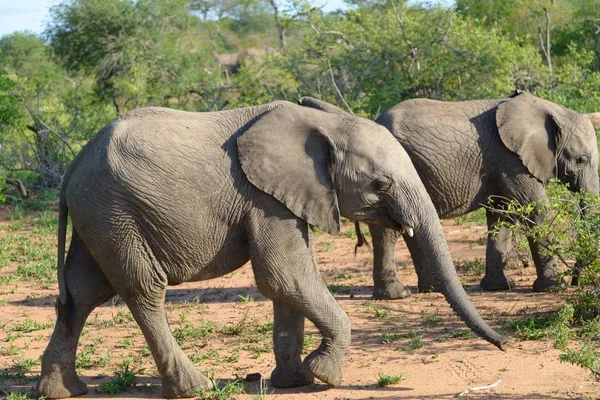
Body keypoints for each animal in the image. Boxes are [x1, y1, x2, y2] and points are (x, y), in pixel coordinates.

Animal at [37, 99, 504, 396]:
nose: (505, 345)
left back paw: (63, 391)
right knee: (143, 291)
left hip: (100, 216)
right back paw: (194, 388)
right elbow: (284, 275)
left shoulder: (288, 197)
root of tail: (72, 167)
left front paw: (294, 382)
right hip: (116, 213)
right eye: (380, 184)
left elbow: (288, 285)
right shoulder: (264, 199)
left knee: (81, 294)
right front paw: (325, 375)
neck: (321, 125)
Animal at [344, 90, 596, 296]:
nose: (576, 281)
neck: (549, 109)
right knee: (387, 230)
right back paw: (397, 295)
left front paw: (499, 287)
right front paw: (554, 287)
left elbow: (501, 216)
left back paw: (431, 289)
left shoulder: (498, 163)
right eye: (581, 159)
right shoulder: (511, 160)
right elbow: (535, 211)